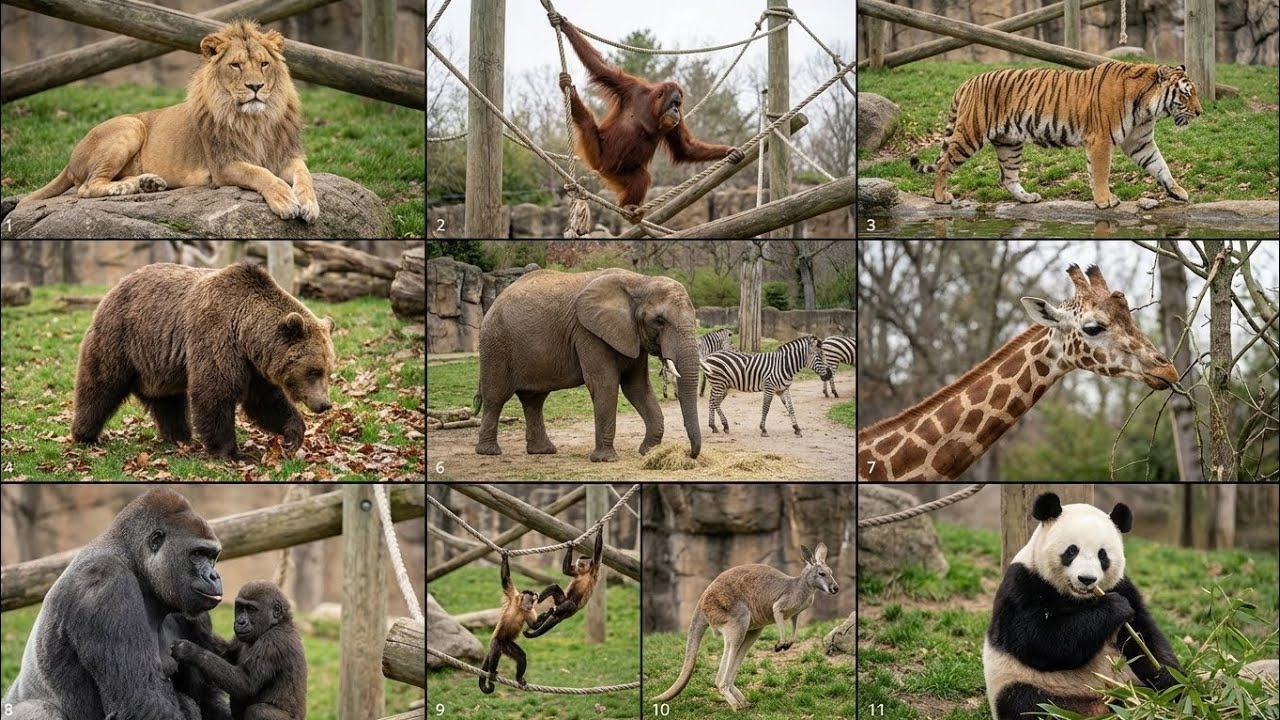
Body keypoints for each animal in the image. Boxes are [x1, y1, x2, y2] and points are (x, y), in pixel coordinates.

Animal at [16, 19, 319, 222]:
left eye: (264, 64)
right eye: (236, 65)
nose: (255, 86)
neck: (255, 120)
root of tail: (70, 160)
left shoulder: (286, 155)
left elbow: (304, 175)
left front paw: (310, 204)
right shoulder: (223, 165)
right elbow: (260, 174)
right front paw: (284, 199)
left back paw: (147, 183)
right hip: (130, 126)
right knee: (88, 186)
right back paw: (128, 187)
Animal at [71, 262, 337, 460]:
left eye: (327, 370)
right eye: (313, 371)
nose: (324, 404)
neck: (247, 336)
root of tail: (115, 287)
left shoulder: (254, 366)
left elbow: (265, 401)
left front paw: (293, 436)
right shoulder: (216, 337)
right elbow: (215, 393)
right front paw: (233, 452)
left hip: (158, 365)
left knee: (168, 401)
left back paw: (179, 437)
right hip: (122, 338)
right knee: (101, 385)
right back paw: (86, 435)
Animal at [474, 268, 702, 462]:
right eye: (660, 321)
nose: (690, 454)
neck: (640, 281)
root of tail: (495, 301)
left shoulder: (632, 335)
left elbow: (637, 387)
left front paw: (648, 452)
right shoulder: (588, 333)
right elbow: (605, 384)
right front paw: (606, 459)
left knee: (534, 399)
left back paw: (543, 451)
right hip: (496, 343)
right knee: (496, 396)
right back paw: (489, 452)